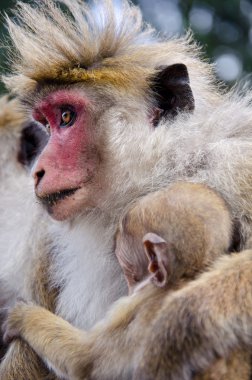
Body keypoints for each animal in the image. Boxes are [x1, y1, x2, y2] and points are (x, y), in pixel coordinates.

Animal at [3, 183, 250, 378]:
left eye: (127, 270)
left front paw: (23, 318)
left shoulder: (133, 307)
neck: (181, 277)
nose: (129, 288)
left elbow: (86, 361)